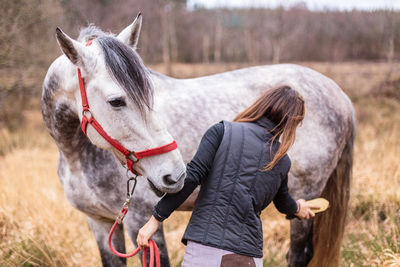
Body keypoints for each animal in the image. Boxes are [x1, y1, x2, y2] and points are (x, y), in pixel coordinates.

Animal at [42, 13, 356, 266]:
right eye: (116, 101)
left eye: (150, 92)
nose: (175, 175)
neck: (77, 155)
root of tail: (339, 95)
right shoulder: (100, 223)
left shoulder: (141, 222)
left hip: (306, 197)